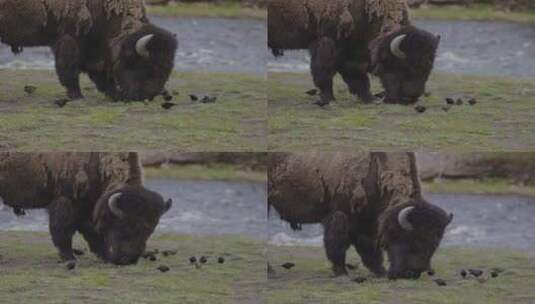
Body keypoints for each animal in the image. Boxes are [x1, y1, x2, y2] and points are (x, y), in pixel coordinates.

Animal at [0, 0, 180, 102]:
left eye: (168, 68)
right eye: (149, 66)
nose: (148, 96)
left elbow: (99, 73)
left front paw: (113, 94)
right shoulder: (70, 41)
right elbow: (69, 70)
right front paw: (77, 96)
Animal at [0, 153, 172, 264]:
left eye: (150, 230)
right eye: (128, 226)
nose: (129, 260)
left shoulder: (87, 206)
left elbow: (92, 233)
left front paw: (104, 256)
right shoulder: (67, 202)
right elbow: (64, 231)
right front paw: (70, 258)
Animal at [268, 0, 440, 105]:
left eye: (429, 67)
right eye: (406, 66)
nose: (411, 98)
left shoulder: (352, 53)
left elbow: (357, 76)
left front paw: (369, 98)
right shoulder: (327, 44)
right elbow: (324, 74)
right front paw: (329, 99)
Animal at [268, 153, 452, 280]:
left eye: (434, 244)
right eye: (413, 240)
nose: (412, 274)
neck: (376, 166)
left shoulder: (368, 222)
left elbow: (370, 249)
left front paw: (380, 272)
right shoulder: (341, 216)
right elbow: (338, 245)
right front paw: (342, 273)